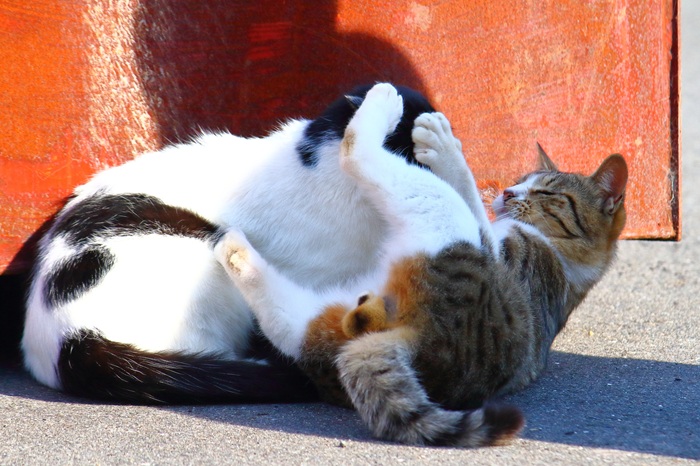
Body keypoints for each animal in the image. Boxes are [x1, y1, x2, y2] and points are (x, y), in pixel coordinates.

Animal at [216, 82, 628, 446]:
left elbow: (465, 183)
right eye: (520, 180)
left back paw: (383, 104)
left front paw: (443, 144)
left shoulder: (501, 251)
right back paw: (230, 245)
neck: (566, 260)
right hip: (323, 317)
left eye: (546, 192)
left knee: (357, 153)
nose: (508, 193)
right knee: (285, 319)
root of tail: (421, 340)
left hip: (439, 211)